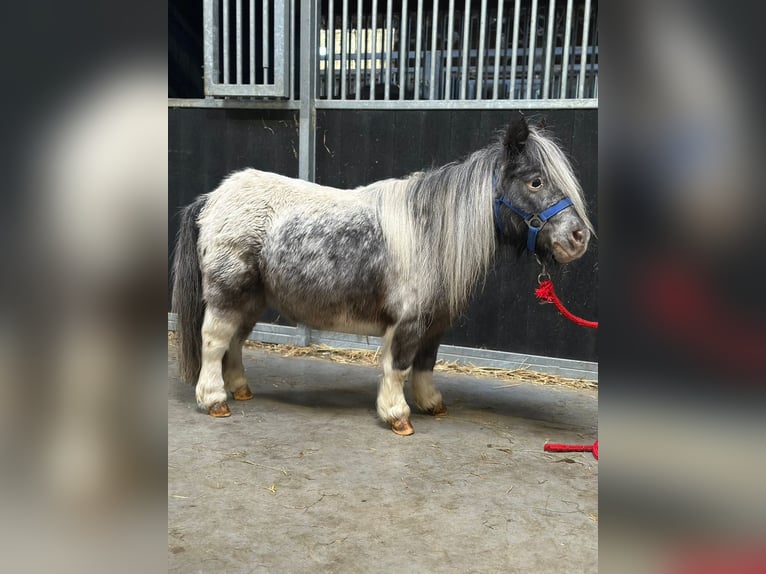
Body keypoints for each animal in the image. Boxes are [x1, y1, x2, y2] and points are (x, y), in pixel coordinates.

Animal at [171, 115, 593, 435]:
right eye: (535, 181)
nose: (578, 238)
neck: (430, 232)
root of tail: (212, 199)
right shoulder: (408, 322)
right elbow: (399, 366)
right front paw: (397, 416)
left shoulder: (435, 322)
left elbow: (426, 363)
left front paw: (431, 404)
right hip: (227, 294)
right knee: (214, 341)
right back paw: (214, 400)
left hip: (252, 299)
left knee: (235, 342)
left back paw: (240, 389)